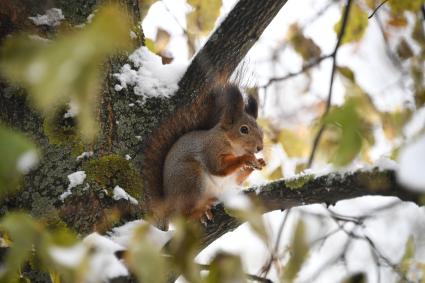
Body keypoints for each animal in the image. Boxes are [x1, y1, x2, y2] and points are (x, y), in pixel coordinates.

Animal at [141, 83, 264, 230]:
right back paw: (201, 212)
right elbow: (218, 167)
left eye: (261, 130)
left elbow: (238, 177)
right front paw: (246, 159)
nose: (260, 147)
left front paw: (259, 162)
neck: (233, 146)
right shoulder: (210, 150)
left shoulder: (233, 177)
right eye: (244, 129)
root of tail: (170, 212)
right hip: (191, 178)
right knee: (186, 214)